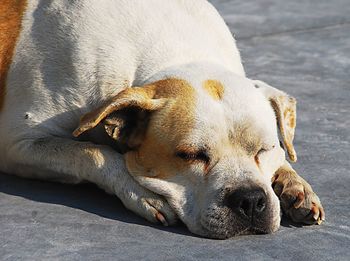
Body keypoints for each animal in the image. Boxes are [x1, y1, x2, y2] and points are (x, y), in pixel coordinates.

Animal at [0, 0, 326, 237]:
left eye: (265, 148)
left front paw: (295, 186)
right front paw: (141, 192)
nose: (250, 200)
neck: (180, 54)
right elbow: (92, 153)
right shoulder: (19, 145)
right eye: (190, 155)